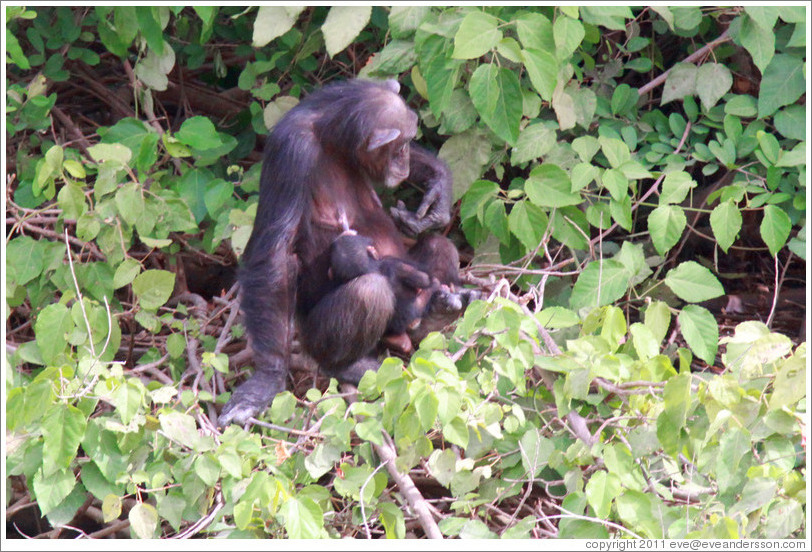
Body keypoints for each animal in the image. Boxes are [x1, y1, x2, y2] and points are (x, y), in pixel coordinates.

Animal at [219, 78, 476, 426]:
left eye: (408, 144)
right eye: (399, 147)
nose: (405, 160)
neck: (334, 140)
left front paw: (437, 189)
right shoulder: (291, 152)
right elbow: (275, 253)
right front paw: (265, 380)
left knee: (440, 245)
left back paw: (436, 314)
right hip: (314, 340)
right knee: (368, 293)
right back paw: (349, 365)